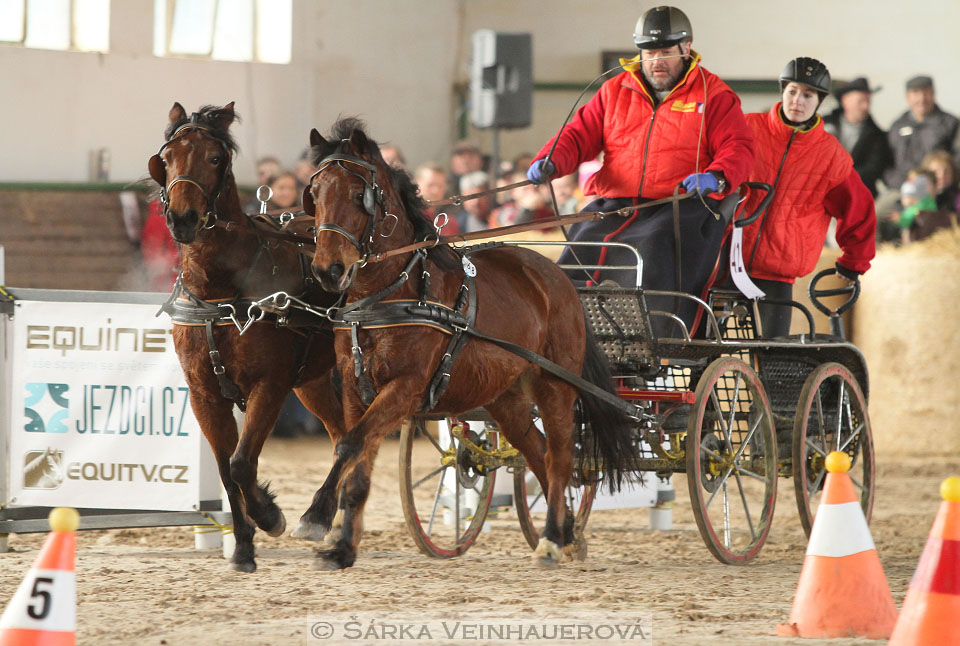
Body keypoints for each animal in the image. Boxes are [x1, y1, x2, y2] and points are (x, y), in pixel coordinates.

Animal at [146, 101, 344, 572]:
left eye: (215, 158)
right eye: (166, 159)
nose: (183, 219)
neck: (221, 291)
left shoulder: (268, 386)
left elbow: (241, 464)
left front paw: (270, 516)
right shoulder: (204, 394)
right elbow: (225, 469)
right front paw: (242, 548)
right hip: (311, 382)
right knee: (343, 435)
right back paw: (325, 515)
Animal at [304, 117, 640, 572]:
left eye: (360, 196)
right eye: (315, 194)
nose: (328, 269)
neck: (389, 295)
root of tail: (558, 277)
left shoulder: (405, 388)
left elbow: (350, 444)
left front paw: (316, 517)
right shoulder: (357, 389)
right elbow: (355, 461)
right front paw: (341, 548)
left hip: (555, 386)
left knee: (559, 458)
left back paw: (553, 539)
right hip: (506, 397)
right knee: (537, 452)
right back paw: (568, 533)